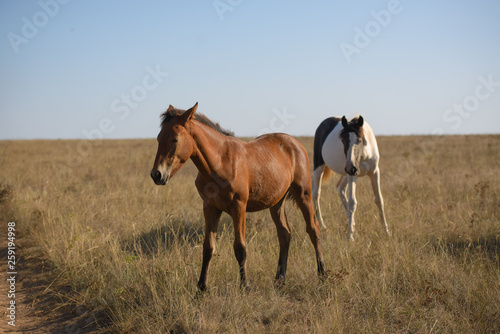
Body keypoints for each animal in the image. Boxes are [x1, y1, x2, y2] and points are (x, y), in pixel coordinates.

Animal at [150, 103, 326, 290]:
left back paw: (322, 275)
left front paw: (245, 286)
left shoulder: (239, 207)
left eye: (175, 139)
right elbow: (208, 247)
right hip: (276, 203)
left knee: (313, 229)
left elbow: (240, 248)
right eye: (159, 138)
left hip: (303, 194)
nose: (157, 175)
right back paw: (279, 279)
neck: (220, 163)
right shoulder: (210, 208)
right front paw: (201, 287)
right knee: (285, 233)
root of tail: (295, 143)